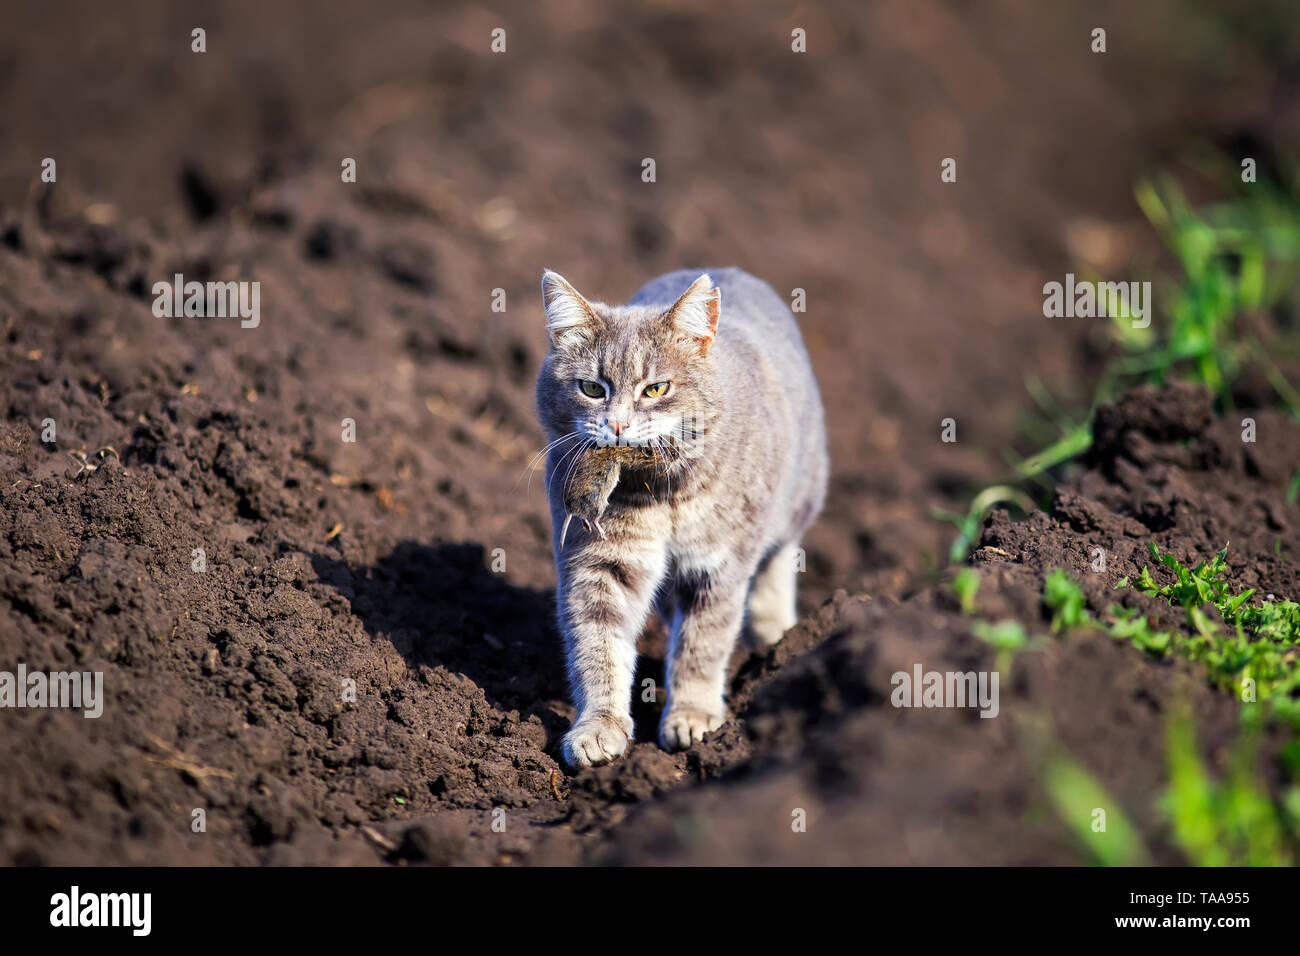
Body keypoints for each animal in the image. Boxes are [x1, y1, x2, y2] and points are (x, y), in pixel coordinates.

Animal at [533, 269, 826, 770]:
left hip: (798, 500)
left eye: (656, 389)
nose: (618, 426)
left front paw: (693, 716)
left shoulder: (718, 565)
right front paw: (599, 726)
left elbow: (703, 644)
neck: (657, 493)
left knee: (777, 563)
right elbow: (598, 644)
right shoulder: (598, 564)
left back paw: (778, 636)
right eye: (592, 388)